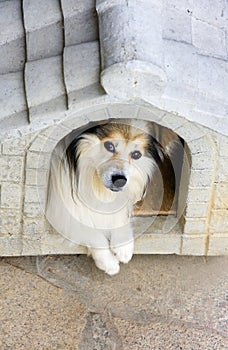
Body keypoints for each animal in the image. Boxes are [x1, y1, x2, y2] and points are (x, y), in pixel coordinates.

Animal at [46, 119, 178, 274]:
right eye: (109, 146)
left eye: (136, 154)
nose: (120, 181)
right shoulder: (59, 209)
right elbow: (89, 229)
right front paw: (108, 261)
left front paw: (123, 244)